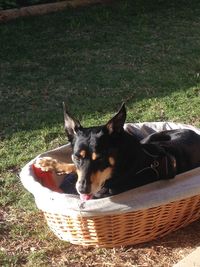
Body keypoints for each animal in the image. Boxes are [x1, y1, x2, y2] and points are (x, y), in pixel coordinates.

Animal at [36, 103, 200, 200]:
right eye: (77, 157)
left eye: (101, 158)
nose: (83, 190)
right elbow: (75, 169)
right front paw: (51, 164)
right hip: (150, 139)